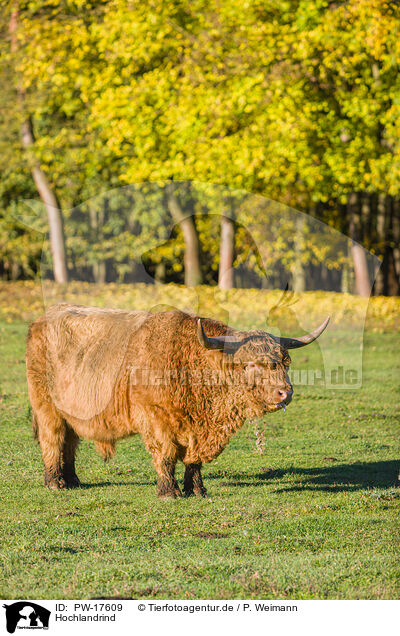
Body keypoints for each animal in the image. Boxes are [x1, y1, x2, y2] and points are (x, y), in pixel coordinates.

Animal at [26, 304, 330, 496]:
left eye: (285, 363)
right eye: (250, 364)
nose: (285, 393)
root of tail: (44, 318)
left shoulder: (197, 430)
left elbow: (193, 461)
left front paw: (196, 489)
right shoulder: (155, 419)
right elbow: (166, 454)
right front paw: (168, 491)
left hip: (70, 412)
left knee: (70, 442)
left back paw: (73, 480)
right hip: (46, 407)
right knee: (53, 440)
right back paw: (55, 483)